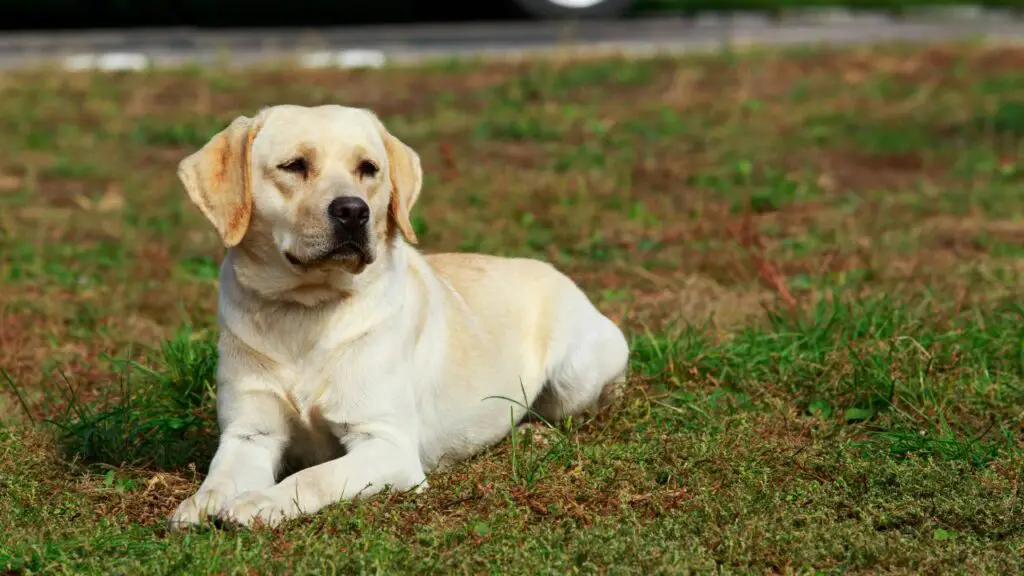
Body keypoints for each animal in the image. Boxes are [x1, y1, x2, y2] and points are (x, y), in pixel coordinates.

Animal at [165, 104, 630, 528]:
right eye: (294, 165)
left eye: (368, 168)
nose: (353, 211)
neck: (308, 309)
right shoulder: (249, 434)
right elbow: (221, 476)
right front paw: (201, 504)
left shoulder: (387, 445)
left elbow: (314, 477)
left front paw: (261, 501)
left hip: (576, 376)